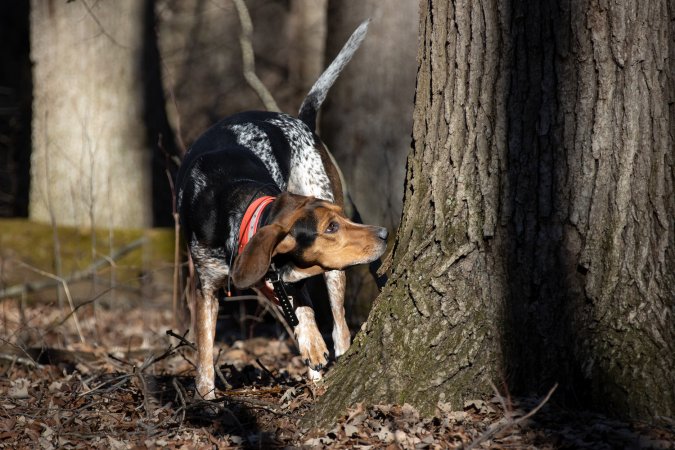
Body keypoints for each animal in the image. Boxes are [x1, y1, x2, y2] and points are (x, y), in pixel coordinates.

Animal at [176, 22, 386, 400]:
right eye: (330, 227)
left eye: (339, 221)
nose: (384, 233)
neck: (235, 205)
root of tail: (300, 120)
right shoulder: (209, 287)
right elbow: (204, 357)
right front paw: (206, 400)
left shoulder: (282, 275)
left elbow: (306, 316)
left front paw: (314, 346)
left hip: (333, 271)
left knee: (340, 328)